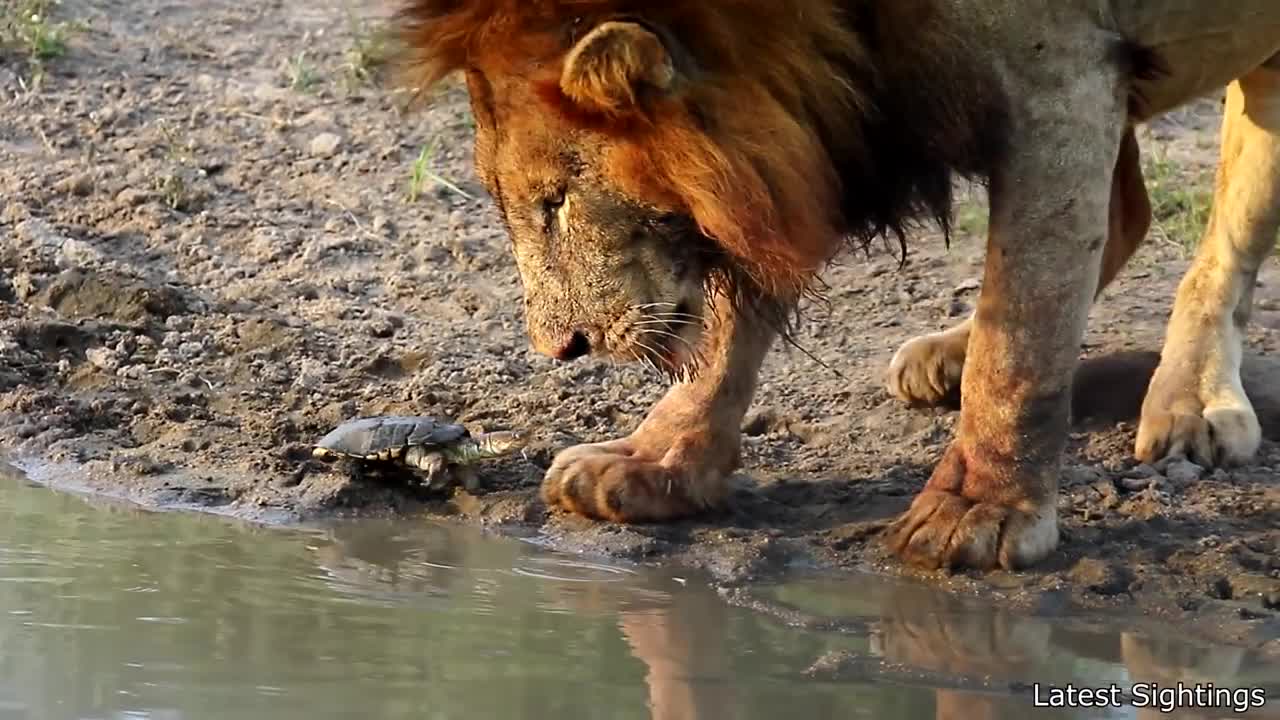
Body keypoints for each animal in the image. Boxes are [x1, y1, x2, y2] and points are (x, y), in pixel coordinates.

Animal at [396, 2, 1280, 568]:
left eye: (556, 202)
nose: (561, 348)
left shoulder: (1064, 79)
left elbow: (1021, 341)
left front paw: (979, 511)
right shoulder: (803, 143)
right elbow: (730, 325)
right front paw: (652, 463)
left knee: (1212, 247)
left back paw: (1191, 401)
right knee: (1126, 214)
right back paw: (946, 353)